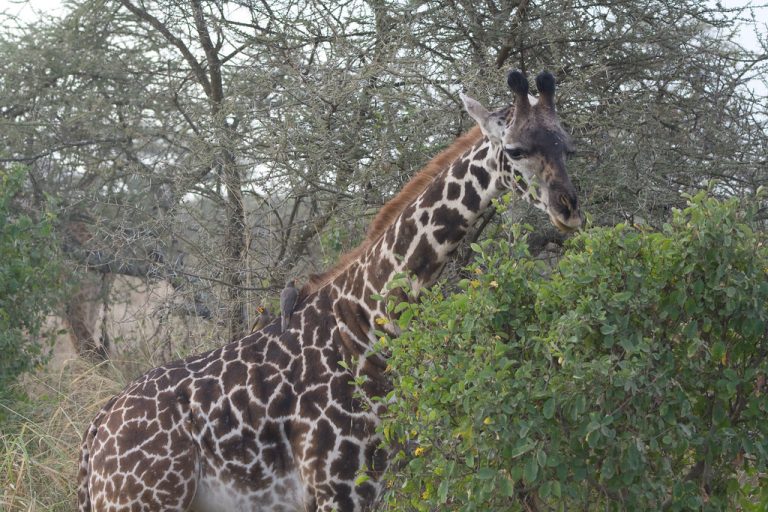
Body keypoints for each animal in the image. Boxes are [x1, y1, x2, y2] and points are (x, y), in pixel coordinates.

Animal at [77, 70, 581, 512]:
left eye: (567, 145)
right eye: (514, 149)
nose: (569, 209)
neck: (368, 321)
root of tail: (96, 432)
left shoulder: (371, 480)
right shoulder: (339, 484)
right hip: (143, 500)